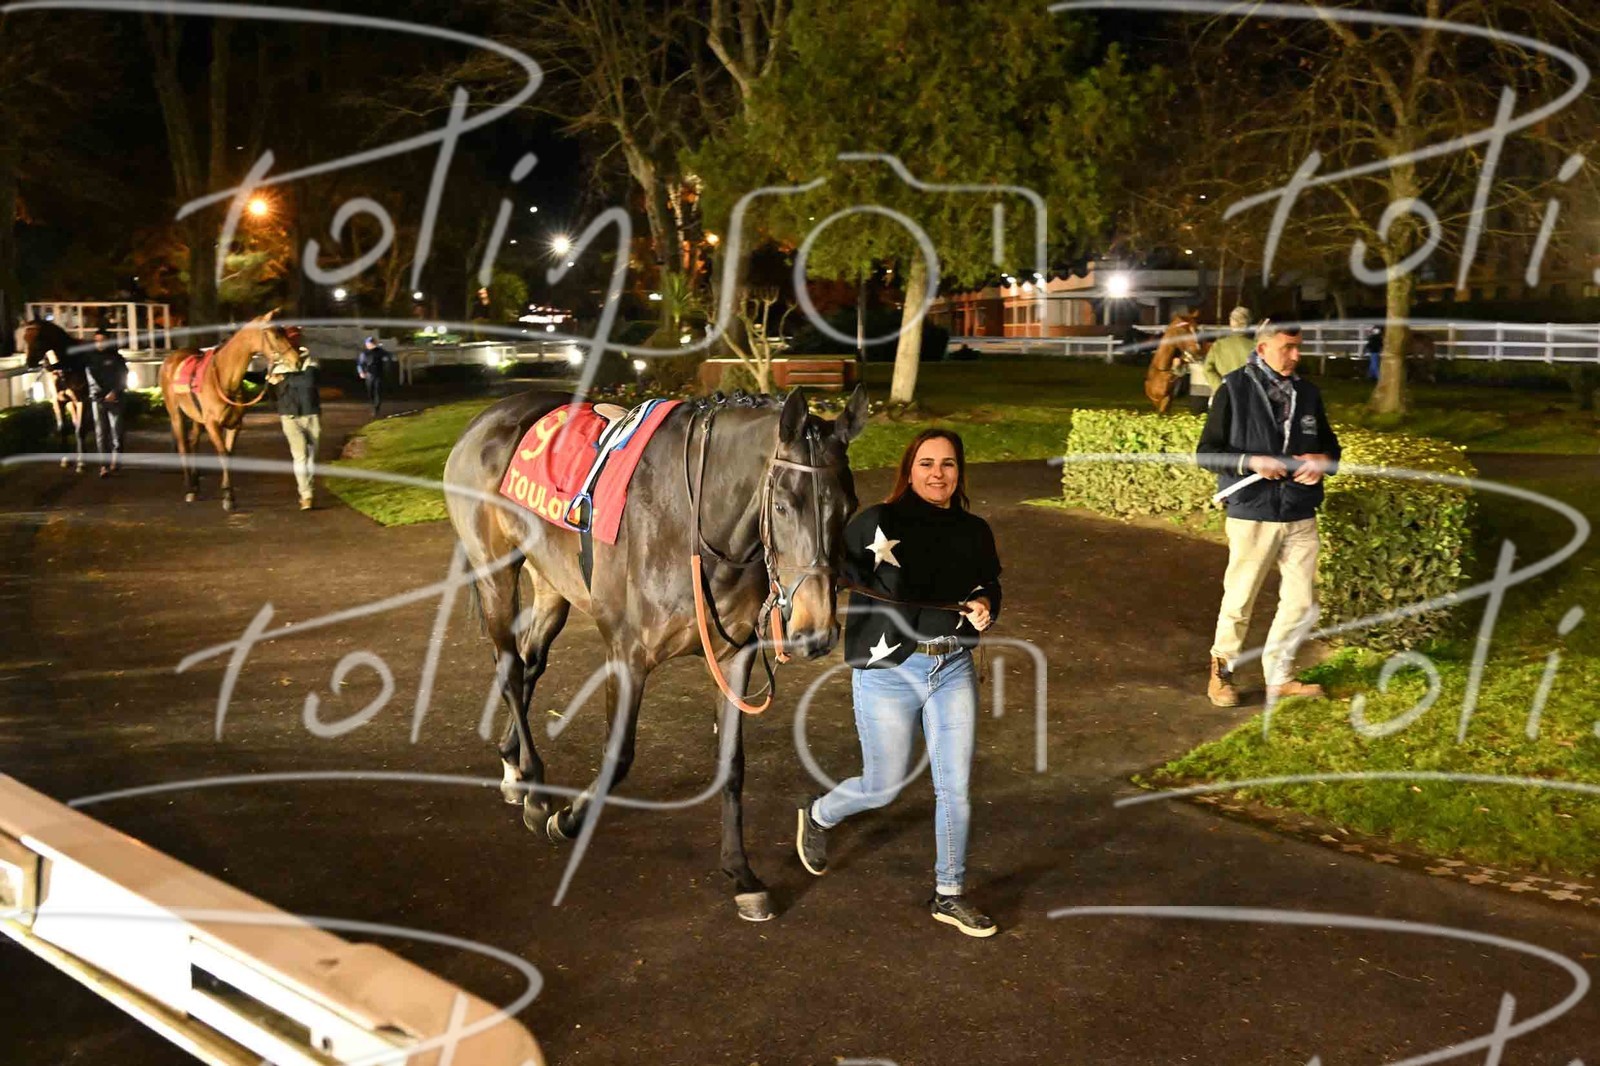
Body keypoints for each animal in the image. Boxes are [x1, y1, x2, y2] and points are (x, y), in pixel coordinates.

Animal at [22, 320, 92, 471]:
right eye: (25, 338)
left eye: (39, 338)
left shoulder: (81, 400)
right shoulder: (59, 401)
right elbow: (64, 429)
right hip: (71, 404)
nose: (29, 362)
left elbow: (80, 429)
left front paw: (81, 463)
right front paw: (65, 460)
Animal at [158, 311, 302, 510]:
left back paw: (196, 485)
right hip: (175, 414)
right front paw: (227, 496)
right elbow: (223, 454)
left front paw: (229, 495)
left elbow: (230, 455)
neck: (225, 378)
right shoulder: (212, 424)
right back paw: (189, 489)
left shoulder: (235, 425)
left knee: (193, 443)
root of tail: (171, 358)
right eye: (275, 335)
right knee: (183, 446)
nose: (297, 361)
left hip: (196, 417)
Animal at [443, 386, 869, 921]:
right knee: (509, 665)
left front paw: (741, 874)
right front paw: (567, 818)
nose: (815, 631)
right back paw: (535, 789)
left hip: (552, 583)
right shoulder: (627, 653)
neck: (695, 521)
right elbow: (619, 755)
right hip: (495, 571)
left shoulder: (734, 655)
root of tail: (486, 418)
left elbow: (732, 764)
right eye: (783, 505)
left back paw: (513, 763)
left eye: (849, 506)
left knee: (530, 660)